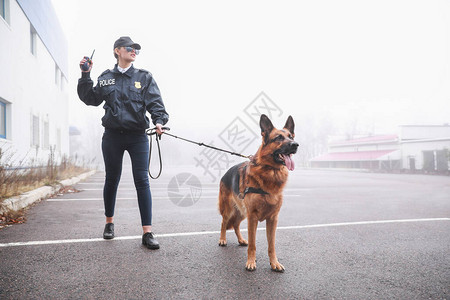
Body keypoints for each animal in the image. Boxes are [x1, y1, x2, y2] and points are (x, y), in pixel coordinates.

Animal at [219, 114, 298, 272]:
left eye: (291, 136)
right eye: (278, 138)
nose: (295, 145)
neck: (270, 172)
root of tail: (225, 173)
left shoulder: (273, 219)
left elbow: (271, 245)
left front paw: (274, 263)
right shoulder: (253, 217)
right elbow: (253, 244)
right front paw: (251, 262)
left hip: (242, 212)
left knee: (235, 224)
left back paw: (241, 240)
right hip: (230, 209)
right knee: (224, 222)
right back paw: (222, 239)